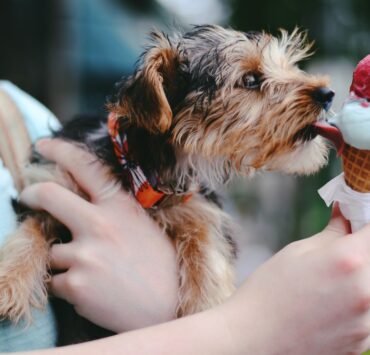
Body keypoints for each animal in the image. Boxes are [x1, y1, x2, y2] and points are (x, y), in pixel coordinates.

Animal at [0, 23, 334, 342]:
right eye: (250, 80)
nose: (327, 94)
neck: (141, 169)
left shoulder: (199, 208)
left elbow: (206, 249)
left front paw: (206, 305)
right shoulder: (51, 182)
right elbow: (31, 228)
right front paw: (9, 281)